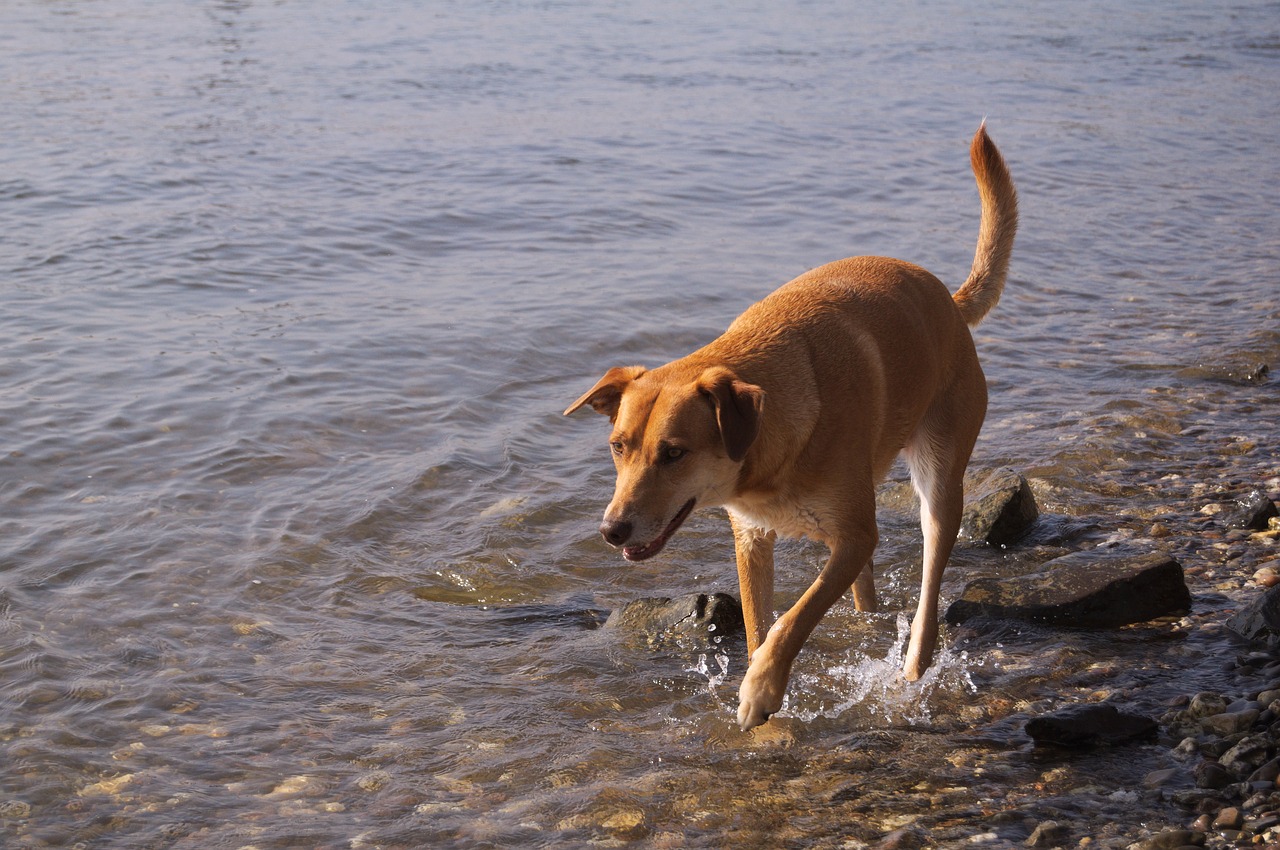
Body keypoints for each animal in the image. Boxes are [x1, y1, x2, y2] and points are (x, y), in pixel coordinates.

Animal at [565, 126, 1013, 732]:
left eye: (674, 453)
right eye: (618, 447)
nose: (612, 530)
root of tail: (946, 297)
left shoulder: (855, 535)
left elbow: (795, 618)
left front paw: (761, 690)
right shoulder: (753, 536)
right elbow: (761, 623)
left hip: (939, 478)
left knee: (928, 579)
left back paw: (914, 665)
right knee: (866, 588)